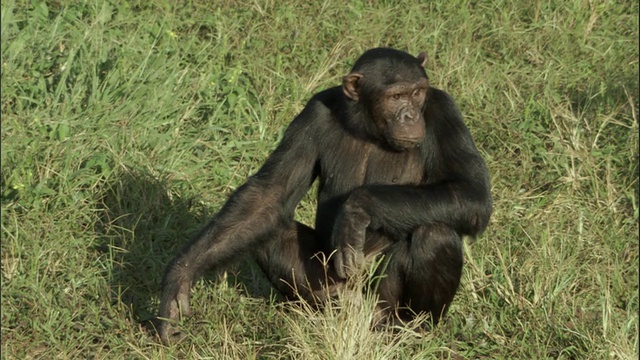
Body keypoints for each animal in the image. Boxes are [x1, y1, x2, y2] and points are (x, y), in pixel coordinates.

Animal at [158, 47, 492, 344]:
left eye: (418, 92)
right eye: (396, 97)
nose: (410, 115)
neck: (369, 126)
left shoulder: (443, 111)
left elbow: (471, 193)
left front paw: (356, 210)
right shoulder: (312, 114)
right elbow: (269, 195)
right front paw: (179, 280)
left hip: (379, 302)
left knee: (435, 234)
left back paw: (409, 328)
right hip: (335, 287)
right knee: (271, 232)